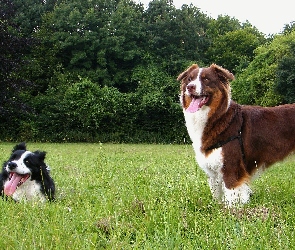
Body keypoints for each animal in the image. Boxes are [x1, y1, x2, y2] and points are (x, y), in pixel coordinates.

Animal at [178, 63, 295, 206]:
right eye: (190, 79)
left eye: (206, 79)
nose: (190, 87)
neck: (217, 117)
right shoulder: (214, 170)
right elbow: (217, 193)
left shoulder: (232, 166)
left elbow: (231, 195)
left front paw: (231, 211)